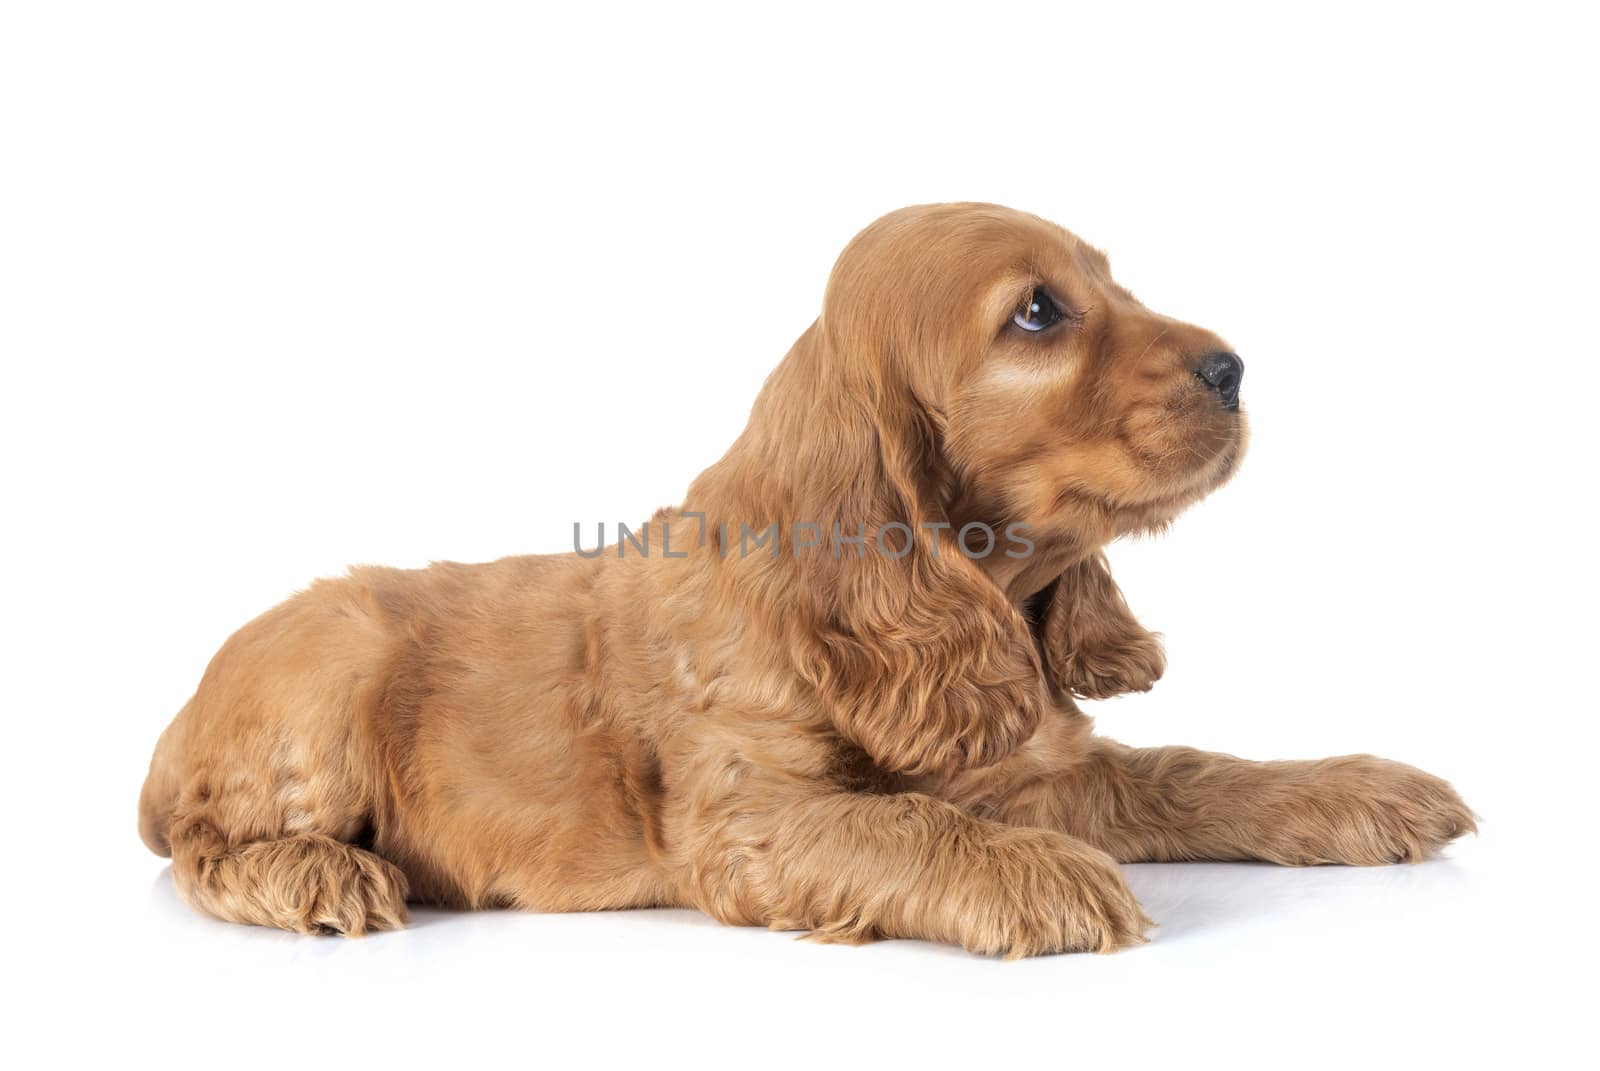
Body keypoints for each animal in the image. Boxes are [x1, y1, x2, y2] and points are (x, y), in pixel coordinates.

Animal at [140, 200, 1472, 954]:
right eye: (1038, 313)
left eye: (1115, 280)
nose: (1234, 368)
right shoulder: (750, 820)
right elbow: (899, 823)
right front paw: (1035, 877)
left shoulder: (1031, 769)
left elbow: (1185, 770)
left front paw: (1356, 791)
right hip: (332, 655)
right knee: (203, 847)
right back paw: (316, 873)